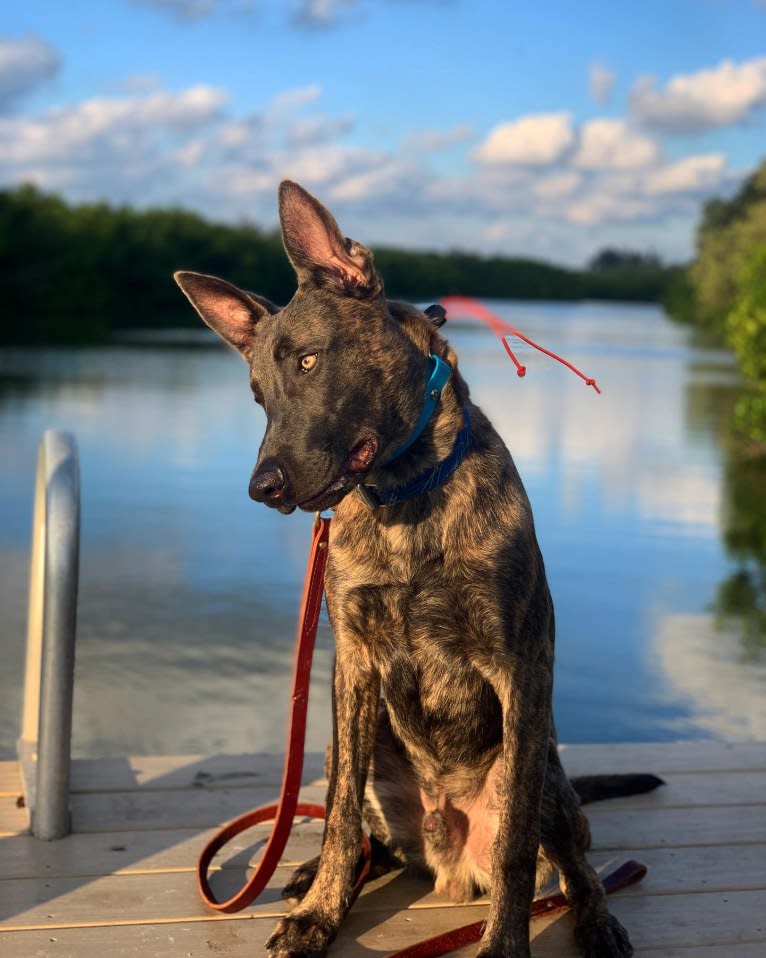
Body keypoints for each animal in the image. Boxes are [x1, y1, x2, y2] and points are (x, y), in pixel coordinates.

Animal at [172, 182, 660, 958]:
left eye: (308, 362)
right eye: (256, 394)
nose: (262, 487)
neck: (406, 497)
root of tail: (446, 850)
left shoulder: (518, 667)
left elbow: (517, 847)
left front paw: (504, 946)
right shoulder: (353, 665)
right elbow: (341, 818)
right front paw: (320, 913)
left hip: (549, 778)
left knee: (576, 863)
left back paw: (598, 922)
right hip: (353, 745)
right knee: (364, 832)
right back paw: (316, 874)